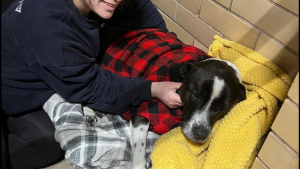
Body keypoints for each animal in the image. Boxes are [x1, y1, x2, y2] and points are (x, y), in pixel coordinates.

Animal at [84, 57, 246, 169]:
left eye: (224, 108)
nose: (200, 134)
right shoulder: (143, 114)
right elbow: (139, 149)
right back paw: (89, 111)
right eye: (195, 95)